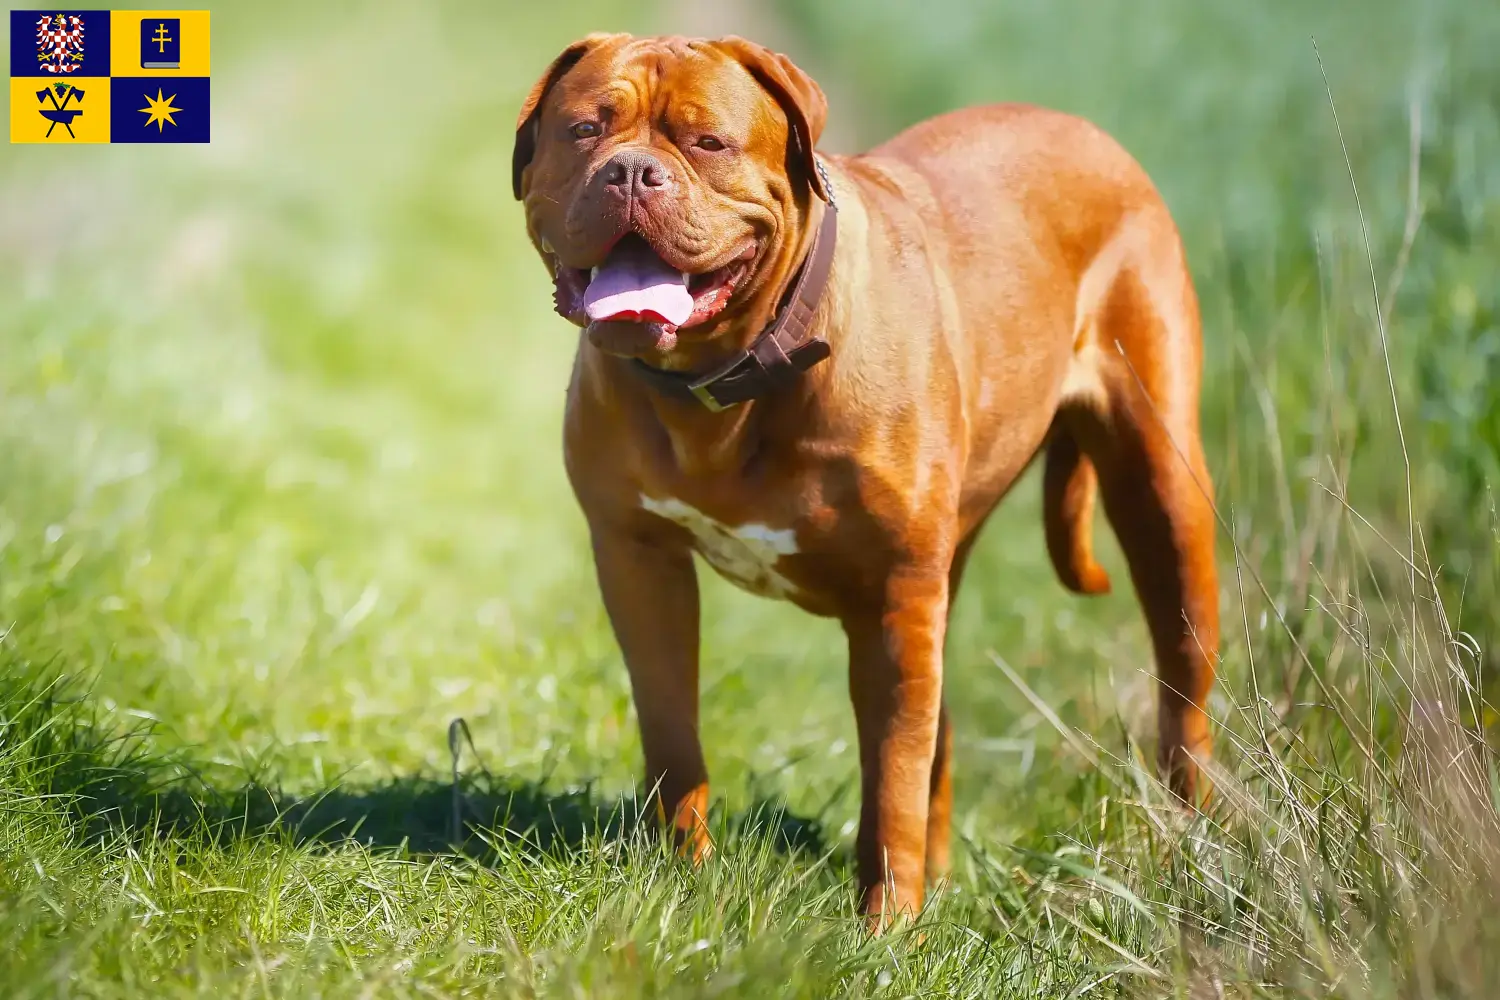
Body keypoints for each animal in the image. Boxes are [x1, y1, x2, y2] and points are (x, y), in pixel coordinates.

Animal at [516, 33, 1218, 923]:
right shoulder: (639, 560)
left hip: (1164, 491)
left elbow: (891, 772)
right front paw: (683, 876)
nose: (633, 172)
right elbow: (673, 728)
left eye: (708, 142)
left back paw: (1188, 846)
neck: (731, 377)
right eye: (584, 129)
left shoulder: (893, 596)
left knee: (1182, 681)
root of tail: (1085, 128)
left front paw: (887, 926)